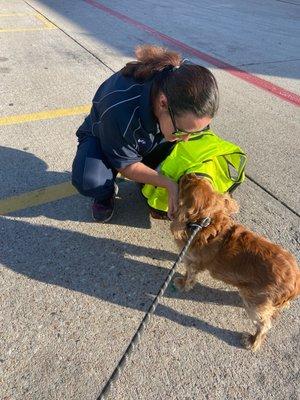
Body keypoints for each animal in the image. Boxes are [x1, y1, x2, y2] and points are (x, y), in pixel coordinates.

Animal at [171, 173, 300, 352]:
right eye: (196, 178)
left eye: (186, 183)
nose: (188, 174)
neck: (206, 223)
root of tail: (295, 283)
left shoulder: (194, 263)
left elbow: (189, 276)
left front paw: (182, 284)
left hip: (254, 304)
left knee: (264, 325)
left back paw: (253, 341)